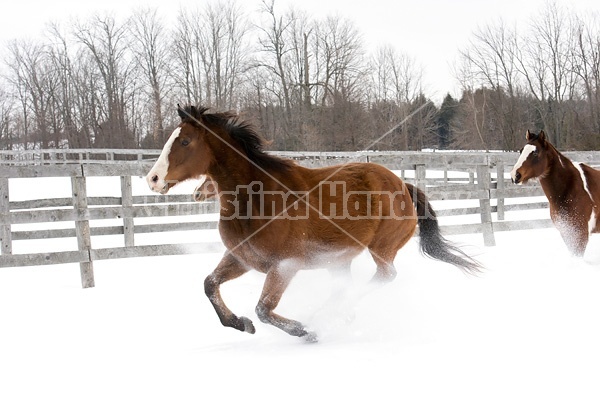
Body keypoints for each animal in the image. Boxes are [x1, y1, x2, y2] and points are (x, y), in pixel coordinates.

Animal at [146, 105, 482, 340]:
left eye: (184, 141)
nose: (153, 179)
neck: (257, 198)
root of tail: (404, 185)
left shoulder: (284, 266)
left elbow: (264, 309)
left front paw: (304, 331)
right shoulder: (241, 258)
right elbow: (210, 285)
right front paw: (241, 324)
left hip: (382, 248)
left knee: (384, 277)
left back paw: (327, 317)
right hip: (340, 258)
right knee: (345, 287)